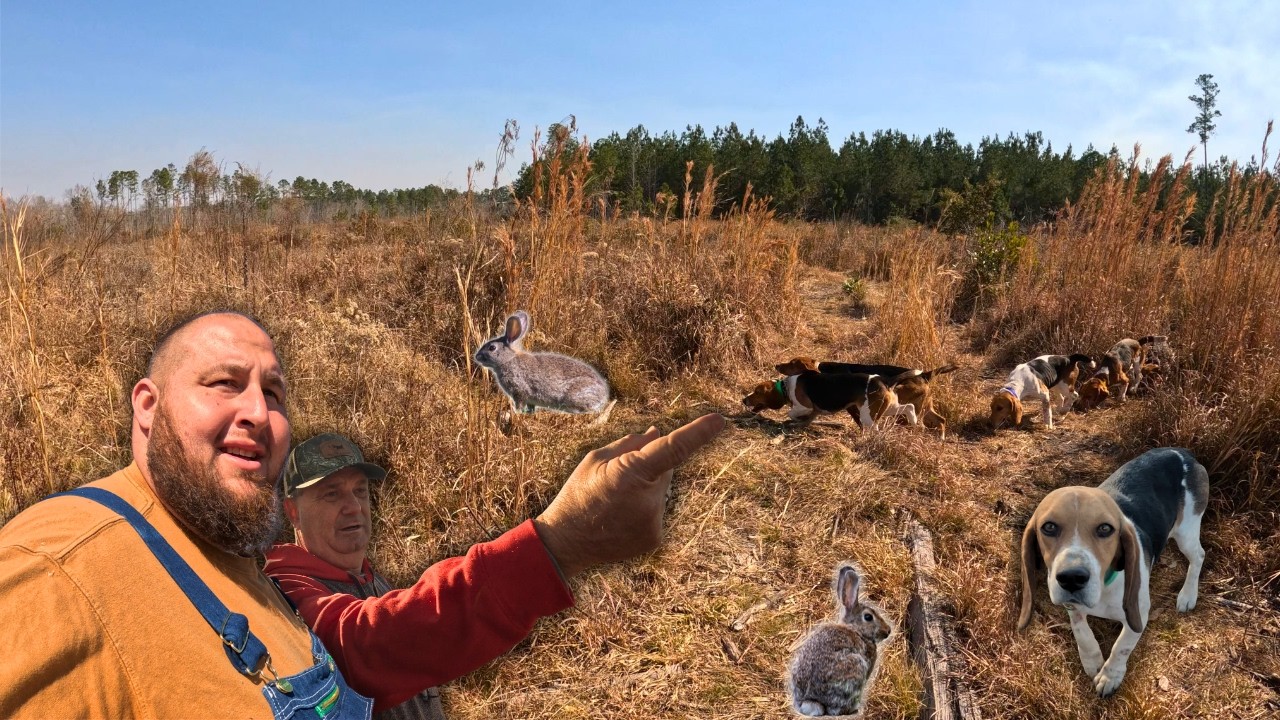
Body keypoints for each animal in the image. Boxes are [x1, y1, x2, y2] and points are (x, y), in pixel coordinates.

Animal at [473, 310, 613, 417]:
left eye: (492, 348)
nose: (477, 356)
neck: (509, 359)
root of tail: (604, 396)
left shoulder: (520, 390)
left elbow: (519, 404)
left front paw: (515, 413)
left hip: (575, 395)